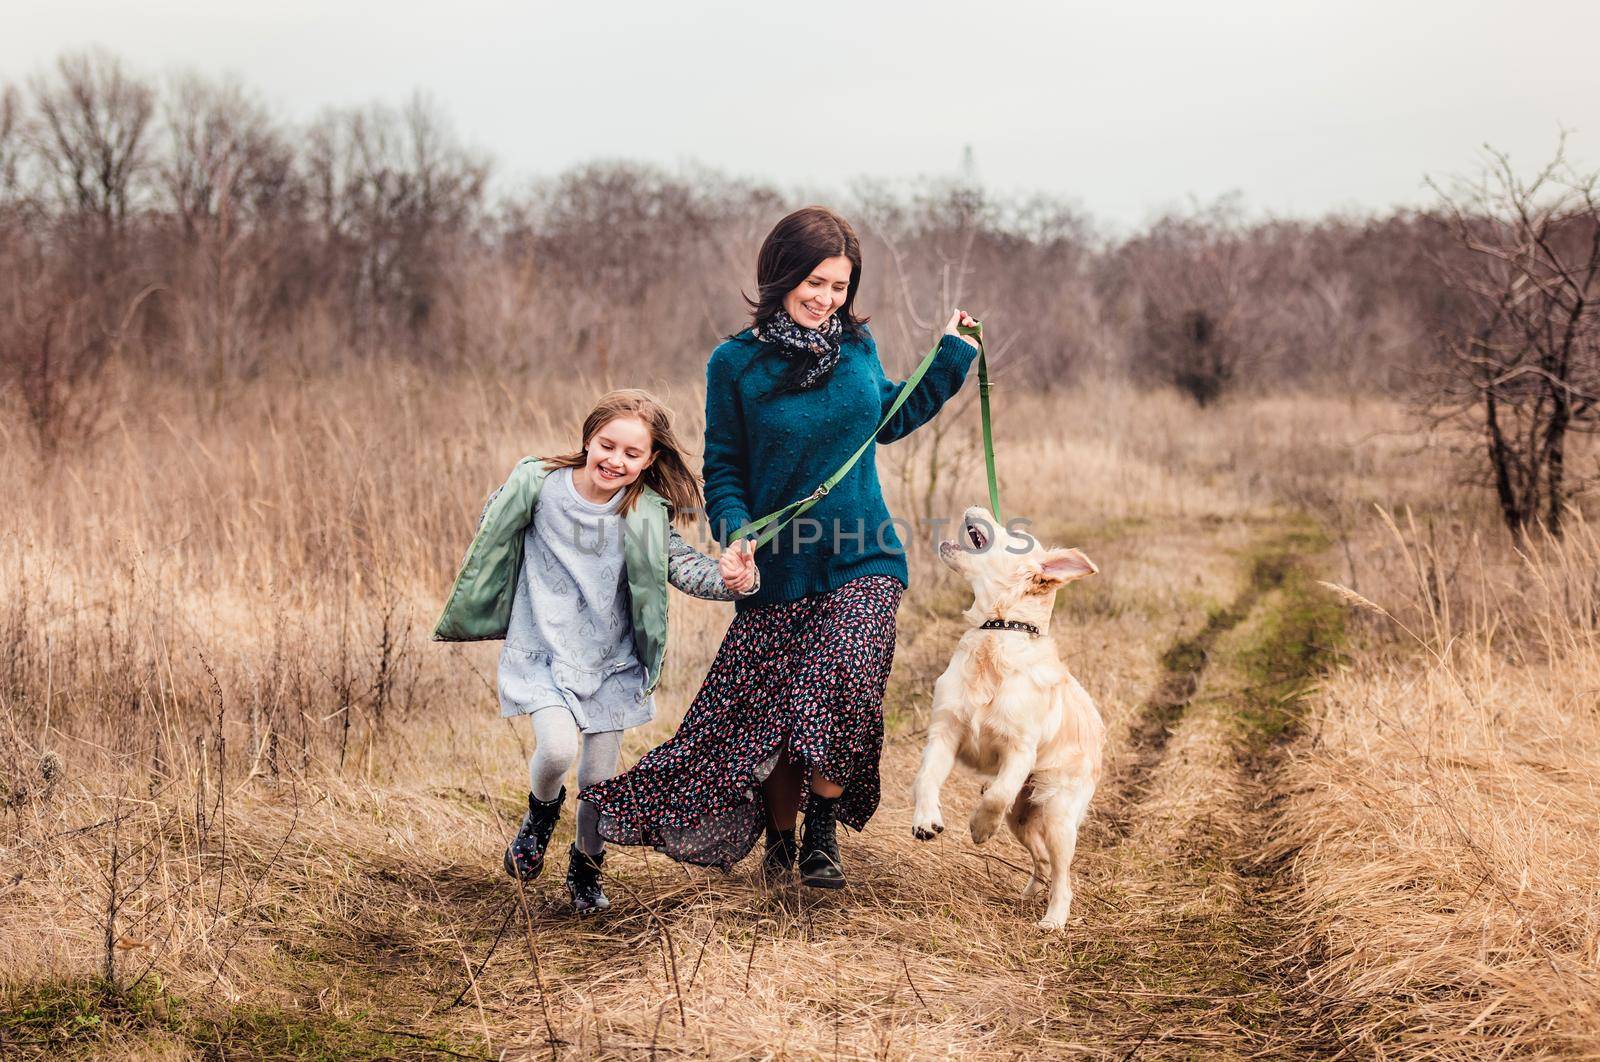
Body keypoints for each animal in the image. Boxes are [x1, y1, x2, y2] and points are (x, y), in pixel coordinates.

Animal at [915, 508, 1100, 927]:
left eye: (1016, 536)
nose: (976, 508)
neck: (996, 631)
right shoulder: (943, 733)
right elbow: (925, 778)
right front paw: (926, 820)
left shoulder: (1020, 750)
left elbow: (997, 794)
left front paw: (979, 828)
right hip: (1022, 820)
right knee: (1041, 860)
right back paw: (1029, 893)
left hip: (1057, 816)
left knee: (1063, 874)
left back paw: (1053, 920)